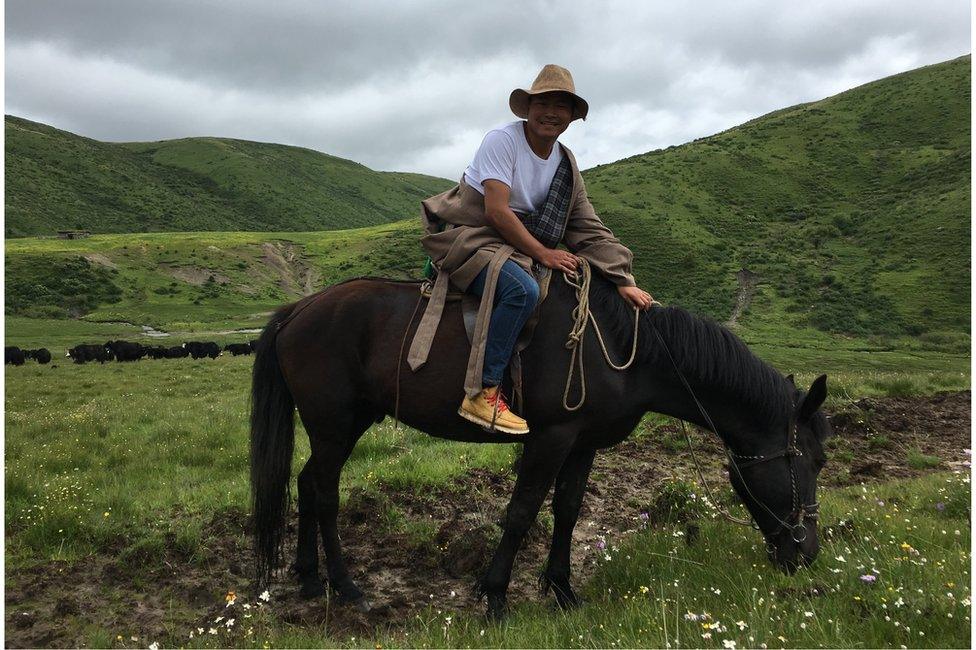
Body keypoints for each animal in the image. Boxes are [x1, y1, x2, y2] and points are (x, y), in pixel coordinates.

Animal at [252, 268, 832, 616]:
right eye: (815, 461)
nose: (806, 553)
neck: (624, 352)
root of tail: (299, 310)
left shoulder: (583, 444)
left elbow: (568, 511)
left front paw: (563, 590)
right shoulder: (550, 438)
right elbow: (522, 511)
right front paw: (495, 596)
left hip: (343, 425)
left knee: (308, 484)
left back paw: (309, 578)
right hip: (334, 425)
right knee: (326, 492)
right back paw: (345, 586)